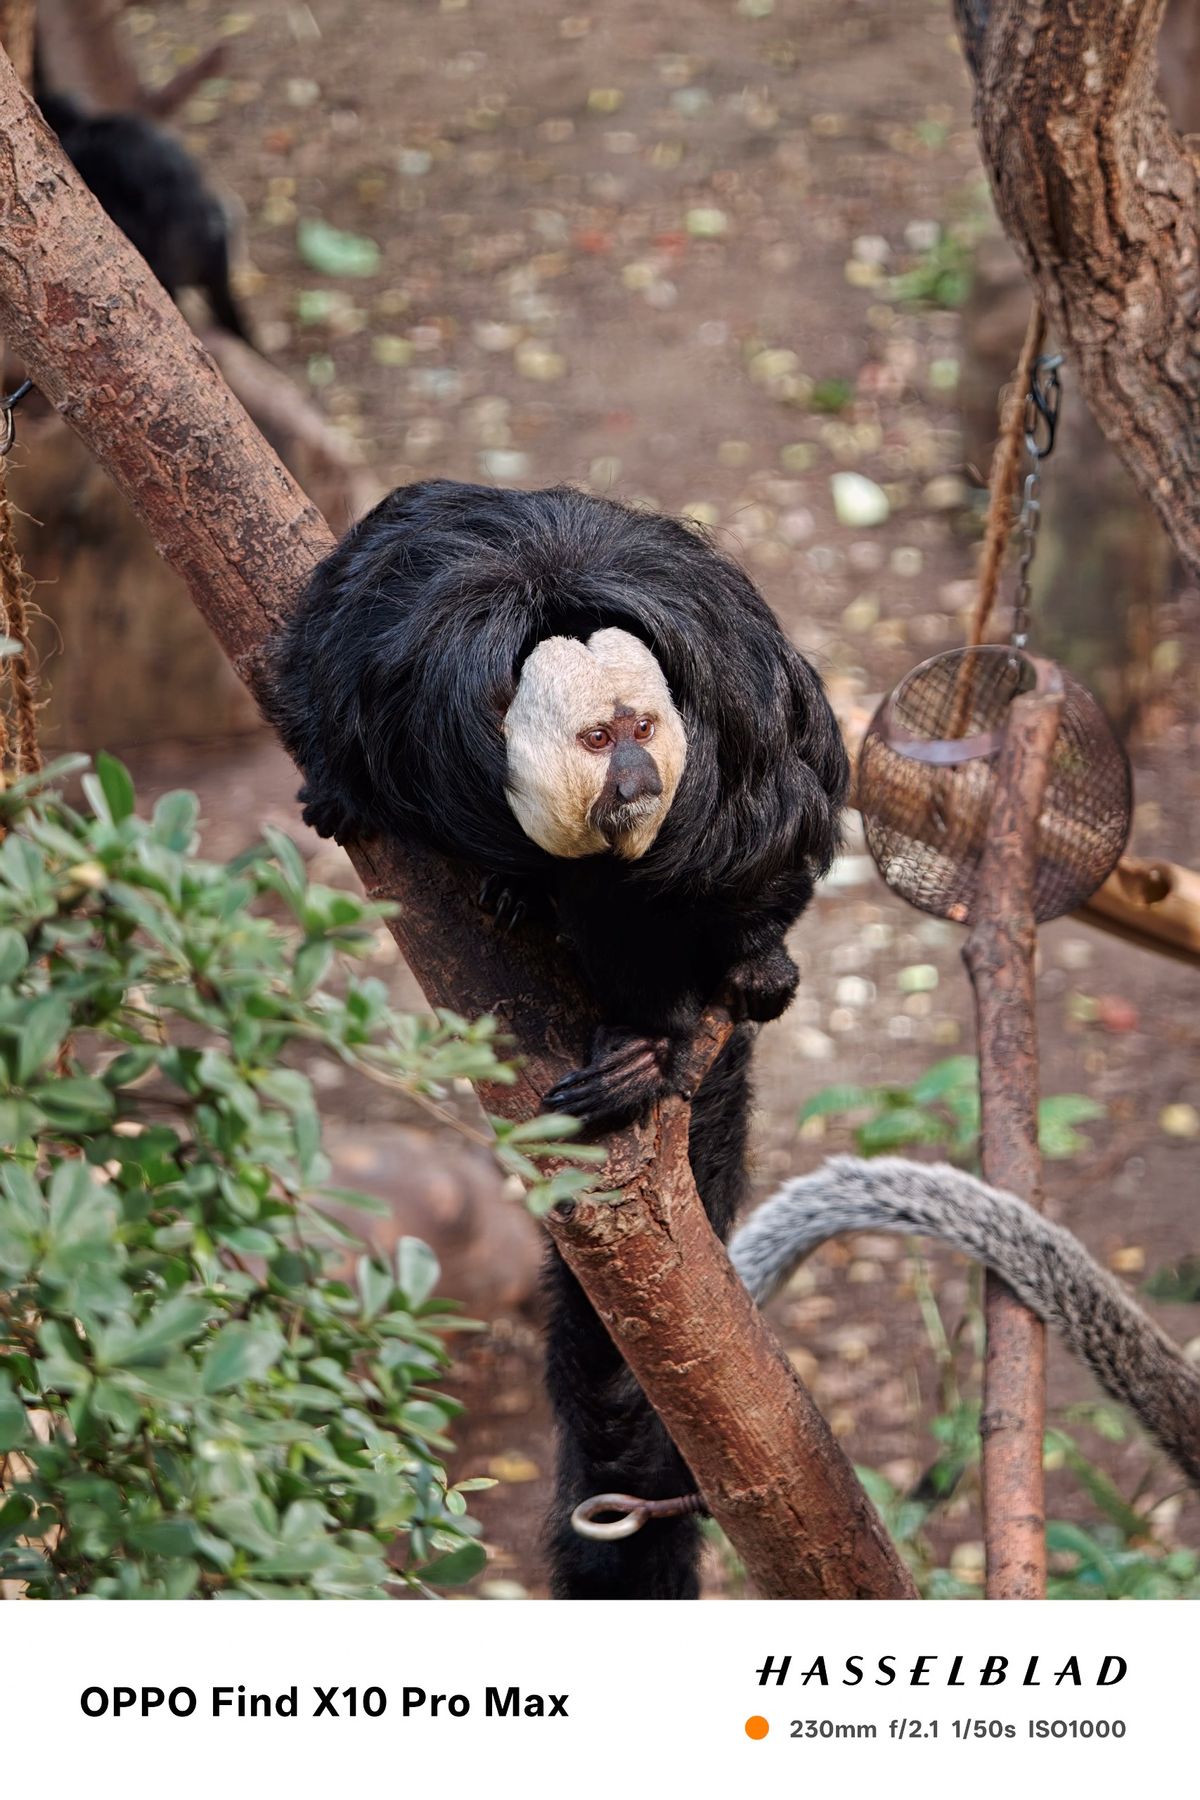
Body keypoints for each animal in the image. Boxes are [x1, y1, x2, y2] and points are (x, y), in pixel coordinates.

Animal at [264, 479, 849, 1598]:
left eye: (642, 726)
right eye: (595, 741)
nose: (638, 776)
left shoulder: (738, 717)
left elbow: (768, 833)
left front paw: (670, 1025)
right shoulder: (393, 667)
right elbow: (322, 695)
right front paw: (341, 791)